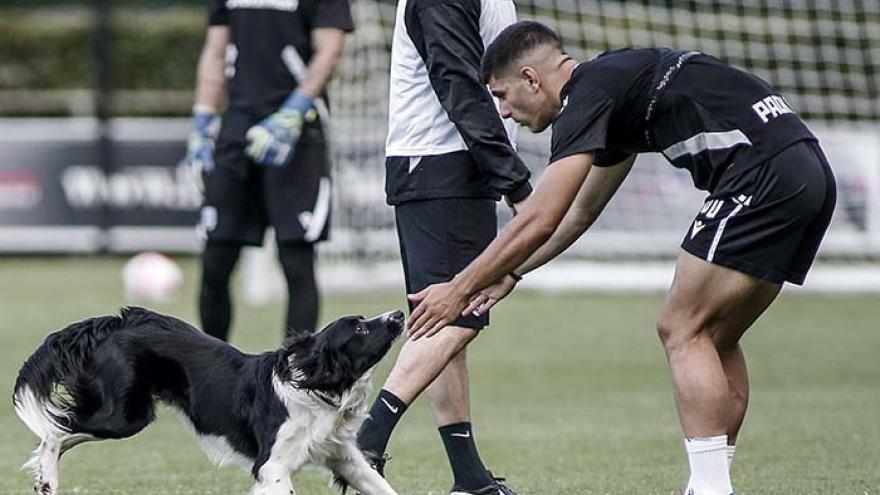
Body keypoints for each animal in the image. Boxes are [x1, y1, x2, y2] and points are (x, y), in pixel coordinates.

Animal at [12, 308, 404, 494]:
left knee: (60, 432)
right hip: (124, 415)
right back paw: (47, 479)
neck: (317, 390)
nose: (400, 314)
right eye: (360, 328)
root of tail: (118, 321)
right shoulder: (272, 466)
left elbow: (382, 487)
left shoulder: (345, 458)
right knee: (56, 430)